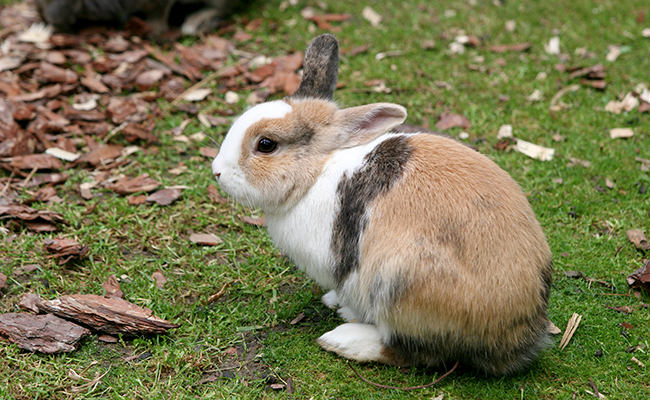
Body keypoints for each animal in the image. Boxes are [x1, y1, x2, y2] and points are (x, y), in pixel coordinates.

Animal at [213, 33, 552, 376]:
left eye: (266, 145)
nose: (217, 172)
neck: (316, 172)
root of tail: (517, 333)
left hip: (398, 284)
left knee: (417, 352)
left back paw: (343, 339)